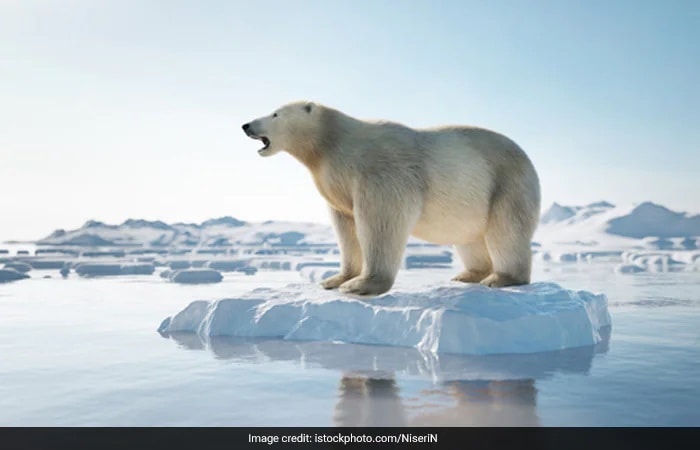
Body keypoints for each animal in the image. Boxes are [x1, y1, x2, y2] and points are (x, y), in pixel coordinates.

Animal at [243, 103, 544, 298]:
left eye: (275, 113)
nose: (246, 125)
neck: (333, 143)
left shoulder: (380, 171)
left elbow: (381, 220)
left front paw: (361, 285)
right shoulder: (338, 185)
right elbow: (346, 227)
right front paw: (336, 279)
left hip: (507, 184)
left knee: (506, 231)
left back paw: (502, 278)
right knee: (470, 238)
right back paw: (468, 274)